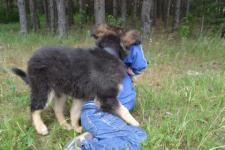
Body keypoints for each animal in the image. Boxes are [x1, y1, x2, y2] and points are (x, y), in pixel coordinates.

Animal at [12, 34, 140, 135]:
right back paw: (41, 128)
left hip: (60, 91)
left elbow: (75, 112)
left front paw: (76, 128)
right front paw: (136, 124)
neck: (109, 52)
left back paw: (65, 125)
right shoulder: (106, 97)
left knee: (57, 108)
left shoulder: (81, 96)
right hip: (43, 89)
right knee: (34, 108)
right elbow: (124, 110)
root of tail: (31, 59)